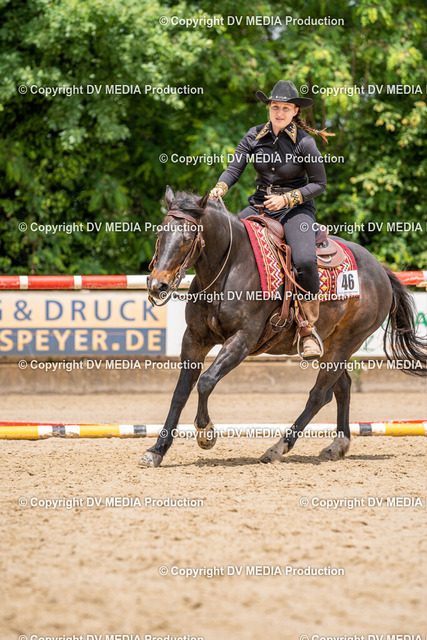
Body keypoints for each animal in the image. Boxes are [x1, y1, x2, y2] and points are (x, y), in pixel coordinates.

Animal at [141, 186, 427, 467]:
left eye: (187, 238)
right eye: (160, 233)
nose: (157, 285)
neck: (229, 268)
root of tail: (381, 271)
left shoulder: (242, 340)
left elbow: (206, 382)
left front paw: (206, 434)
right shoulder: (195, 338)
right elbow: (180, 392)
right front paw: (157, 450)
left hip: (346, 343)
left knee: (319, 395)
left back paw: (278, 448)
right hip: (331, 344)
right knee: (342, 387)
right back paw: (337, 445)